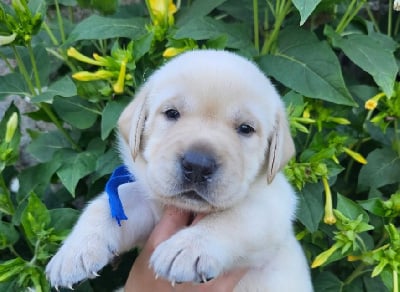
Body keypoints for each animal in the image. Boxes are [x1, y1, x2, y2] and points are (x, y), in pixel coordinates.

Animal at [44, 50, 312, 292]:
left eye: (246, 128)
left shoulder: (273, 206)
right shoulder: (146, 204)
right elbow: (105, 206)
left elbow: (233, 218)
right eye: (172, 113)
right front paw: (74, 253)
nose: (198, 165)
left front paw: (187, 249)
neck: (190, 209)